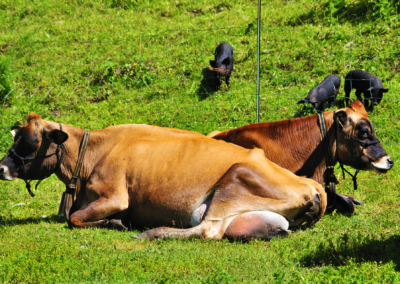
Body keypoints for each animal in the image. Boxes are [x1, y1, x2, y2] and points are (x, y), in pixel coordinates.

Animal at [0, 112, 324, 240]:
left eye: (28, 142)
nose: (1, 167)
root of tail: (310, 184)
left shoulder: (115, 197)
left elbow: (74, 218)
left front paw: (115, 223)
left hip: (236, 177)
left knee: (206, 230)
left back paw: (151, 232)